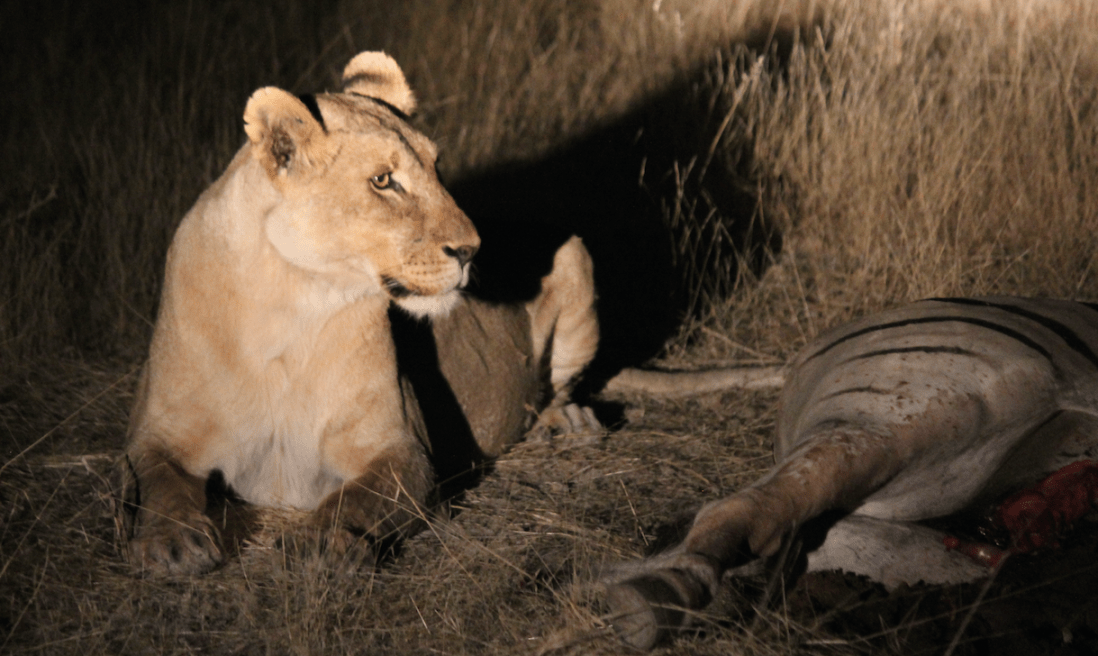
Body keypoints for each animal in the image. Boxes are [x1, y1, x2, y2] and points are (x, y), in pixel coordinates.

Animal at [122, 52, 599, 576]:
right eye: (383, 181)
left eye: (436, 167)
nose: (471, 250)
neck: (285, 304)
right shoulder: (156, 432)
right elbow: (160, 482)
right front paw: (170, 542)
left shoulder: (399, 447)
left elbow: (359, 497)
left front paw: (323, 540)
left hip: (576, 260)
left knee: (558, 385)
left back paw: (566, 420)